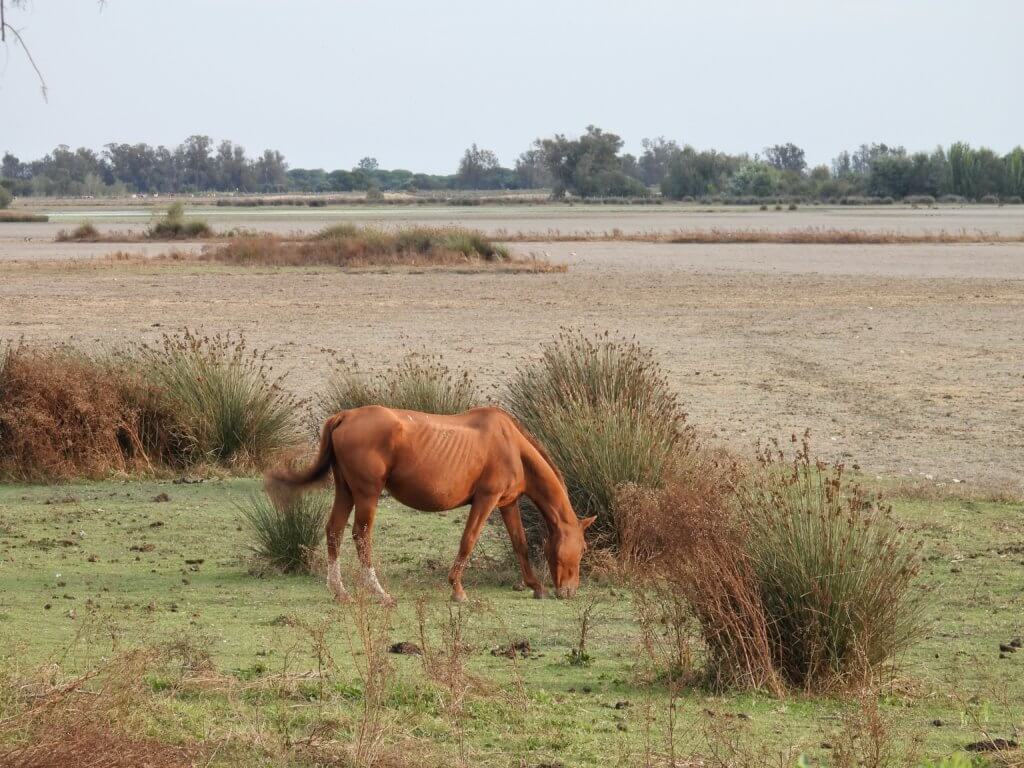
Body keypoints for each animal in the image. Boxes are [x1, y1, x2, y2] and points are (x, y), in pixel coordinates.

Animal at [268, 405, 598, 606]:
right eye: (582, 549)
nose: (570, 591)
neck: (511, 445)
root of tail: (345, 416)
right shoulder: (486, 499)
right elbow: (468, 540)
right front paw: (457, 589)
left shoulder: (508, 503)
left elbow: (520, 544)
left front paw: (535, 586)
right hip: (366, 495)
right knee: (361, 536)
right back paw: (379, 593)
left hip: (346, 492)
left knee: (334, 531)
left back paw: (340, 592)